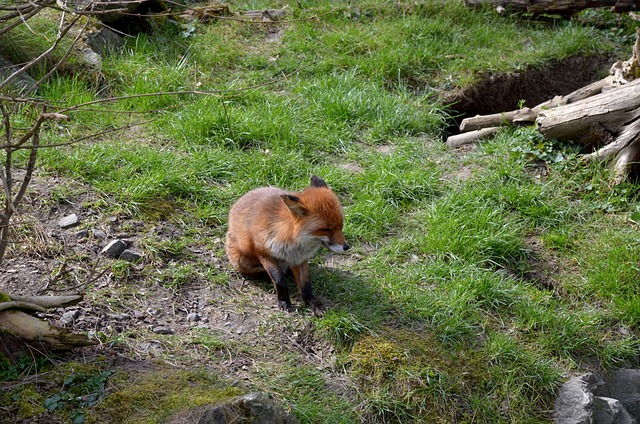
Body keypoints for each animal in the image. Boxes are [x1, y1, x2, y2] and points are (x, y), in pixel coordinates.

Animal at [226, 176, 350, 314]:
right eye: (326, 229)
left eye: (341, 225)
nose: (346, 247)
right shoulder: (264, 253)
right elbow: (279, 280)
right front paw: (284, 300)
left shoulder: (300, 259)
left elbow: (306, 284)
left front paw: (312, 302)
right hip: (241, 261)